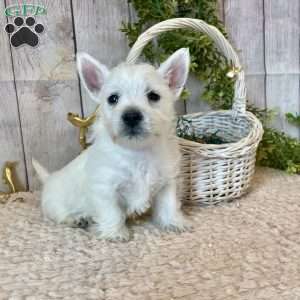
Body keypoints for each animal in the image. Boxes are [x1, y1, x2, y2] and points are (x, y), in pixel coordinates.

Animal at [32, 48, 191, 241]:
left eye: (153, 96)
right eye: (113, 98)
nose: (131, 116)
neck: (137, 151)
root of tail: (49, 179)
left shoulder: (167, 183)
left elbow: (169, 204)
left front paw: (173, 223)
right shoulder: (105, 188)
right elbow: (112, 211)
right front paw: (115, 233)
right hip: (55, 204)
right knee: (60, 215)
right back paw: (77, 219)